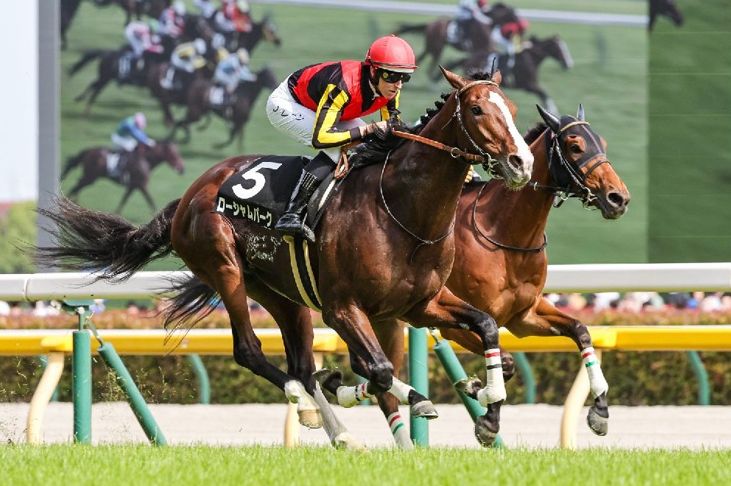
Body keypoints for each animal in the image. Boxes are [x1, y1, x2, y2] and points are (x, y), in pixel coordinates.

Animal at [37, 67, 534, 449]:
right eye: (477, 109)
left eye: (511, 107)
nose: (521, 162)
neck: (402, 208)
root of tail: (188, 196)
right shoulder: (342, 308)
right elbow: (377, 367)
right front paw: (412, 396)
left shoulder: (420, 303)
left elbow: (487, 326)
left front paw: (488, 412)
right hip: (226, 269)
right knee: (252, 352)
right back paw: (315, 403)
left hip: (283, 294)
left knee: (301, 364)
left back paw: (337, 428)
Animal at [324, 104, 631, 448]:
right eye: (575, 146)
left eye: (602, 143)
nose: (618, 197)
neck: (506, 233)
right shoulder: (457, 323)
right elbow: (504, 359)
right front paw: (485, 411)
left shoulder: (525, 316)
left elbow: (580, 331)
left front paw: (600, 410)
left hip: (384, 317)